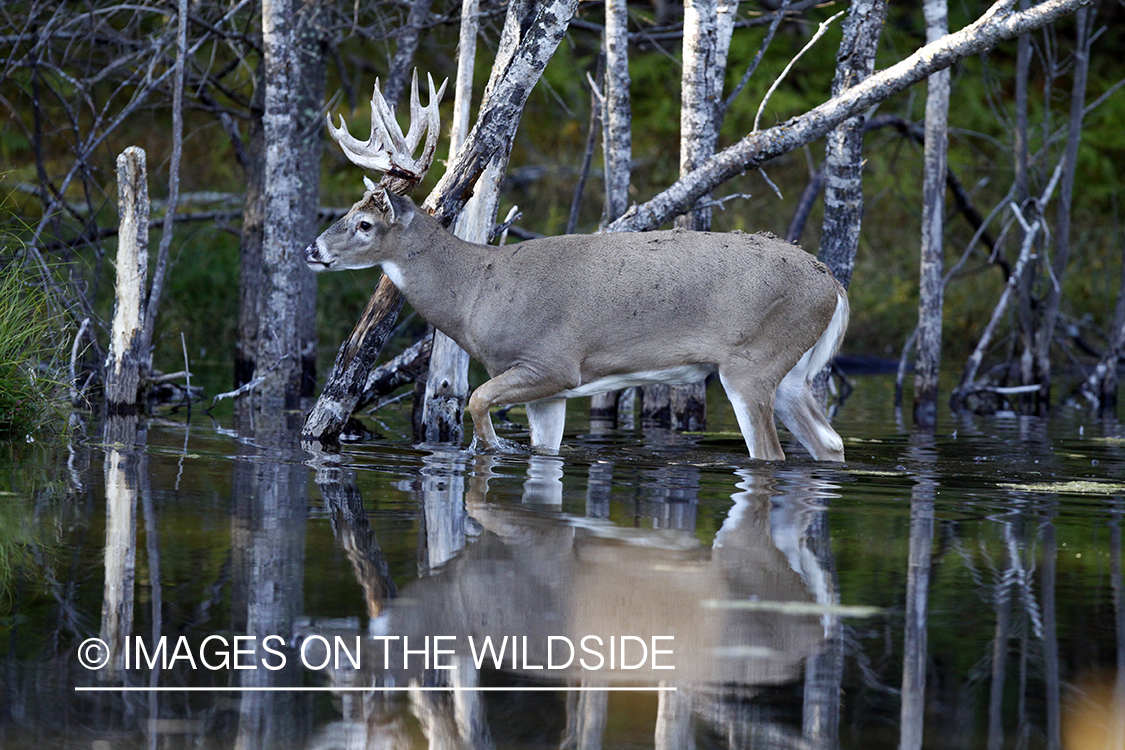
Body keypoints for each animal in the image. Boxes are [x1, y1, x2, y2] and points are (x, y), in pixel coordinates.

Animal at [303, 76, 846, 463]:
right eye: (347, 212)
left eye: (365, 223)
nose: (312, 249)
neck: (476, 289)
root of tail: (835, 285)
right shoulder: (550, 391)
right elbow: (544, 450)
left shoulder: (551, 362)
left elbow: (476, 403)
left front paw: (492, 451)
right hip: (792, 371)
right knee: (830, 442)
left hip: (752, 363)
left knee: (773, 454)